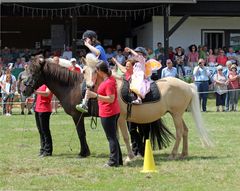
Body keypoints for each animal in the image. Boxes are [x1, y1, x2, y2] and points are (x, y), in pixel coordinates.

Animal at [84, 57, 212, 158]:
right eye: (84, 71)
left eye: (95, 71)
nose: (89, 86)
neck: (116, 87)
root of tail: (187, 85)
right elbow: (117, 137)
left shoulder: (120, 119)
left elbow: (125, 137)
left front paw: (129, 157)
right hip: (178, 115)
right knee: (185, 131)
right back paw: (183, 153)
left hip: (176, 115)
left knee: (179, 132)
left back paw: (173, 154)